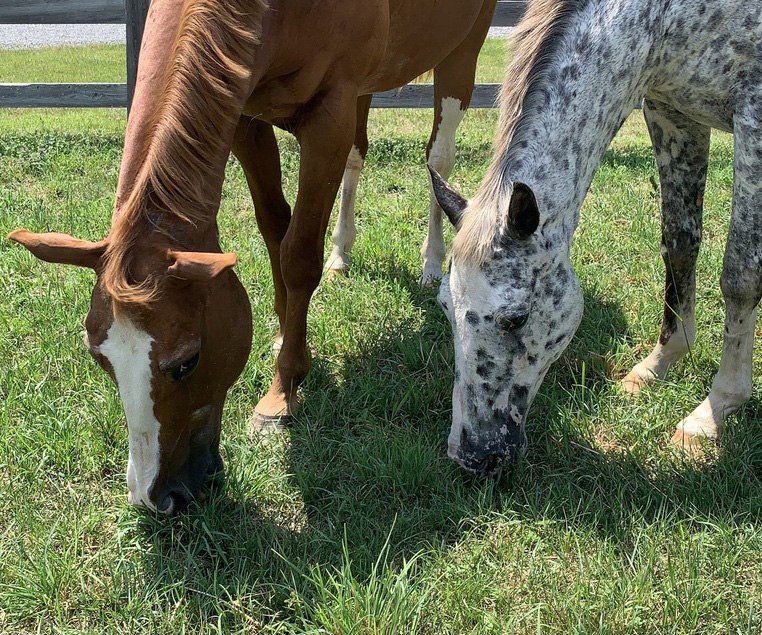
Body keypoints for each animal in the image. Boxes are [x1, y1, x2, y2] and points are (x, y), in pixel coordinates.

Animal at [8, 0, 496, 512]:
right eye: (98, 357)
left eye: (187, 361)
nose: (154, 497)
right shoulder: (246, 118)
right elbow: (274, 229)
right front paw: (286, 337)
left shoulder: (329, 119)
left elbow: (297, 256)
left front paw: (282, 393)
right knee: (358, 156)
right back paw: (341, 254)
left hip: (461, 53)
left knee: (437, 161)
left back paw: (431, 266)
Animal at [428, 0, 760, 474]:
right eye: (443, 307)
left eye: (516, 318)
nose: (471, 454)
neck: (668, 18)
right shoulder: (670, 111)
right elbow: (680, 244)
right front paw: (658, 364)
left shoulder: (754, 116)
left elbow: (740, 274)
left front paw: (713, 411)